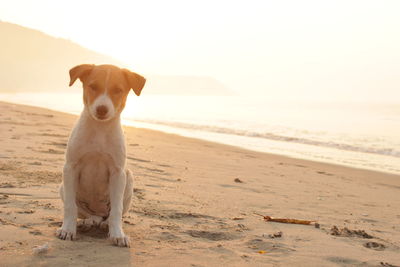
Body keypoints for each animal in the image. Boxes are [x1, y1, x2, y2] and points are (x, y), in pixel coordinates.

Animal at [55, 63, 145, 248]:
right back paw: (87, 222)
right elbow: (70, 207)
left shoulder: (118, 173)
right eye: (93, 86)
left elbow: (117, 210)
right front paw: (67, 230)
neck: (99, 129)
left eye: (118, 90)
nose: (102, 109)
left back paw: (105, 223)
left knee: (109, 214)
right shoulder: (70, 168)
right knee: (87, 213)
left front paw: (118, 234)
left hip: (129, 178)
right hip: (62, 187)